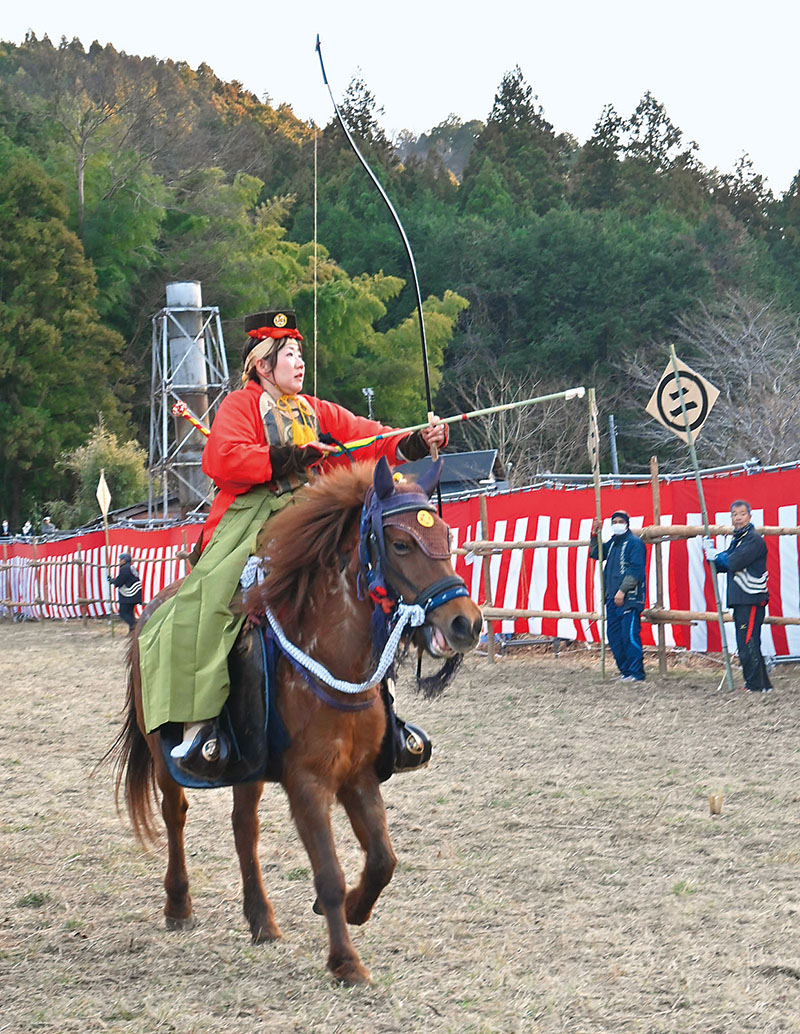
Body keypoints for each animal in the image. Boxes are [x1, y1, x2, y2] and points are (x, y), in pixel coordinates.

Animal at [110, 458, 483, 985]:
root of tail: (149, 612)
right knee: (175, 814)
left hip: (246, 766)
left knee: (244, 828)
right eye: (401, 544)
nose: (466, 623)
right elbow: (329, 873)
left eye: (447, 536)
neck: (333, 662)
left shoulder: (359, 775)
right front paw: (346, 961)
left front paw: (355, 910)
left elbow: (383, 860)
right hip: (164, 751)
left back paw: (261, 920)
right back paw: (178, 905)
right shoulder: (309, 783)